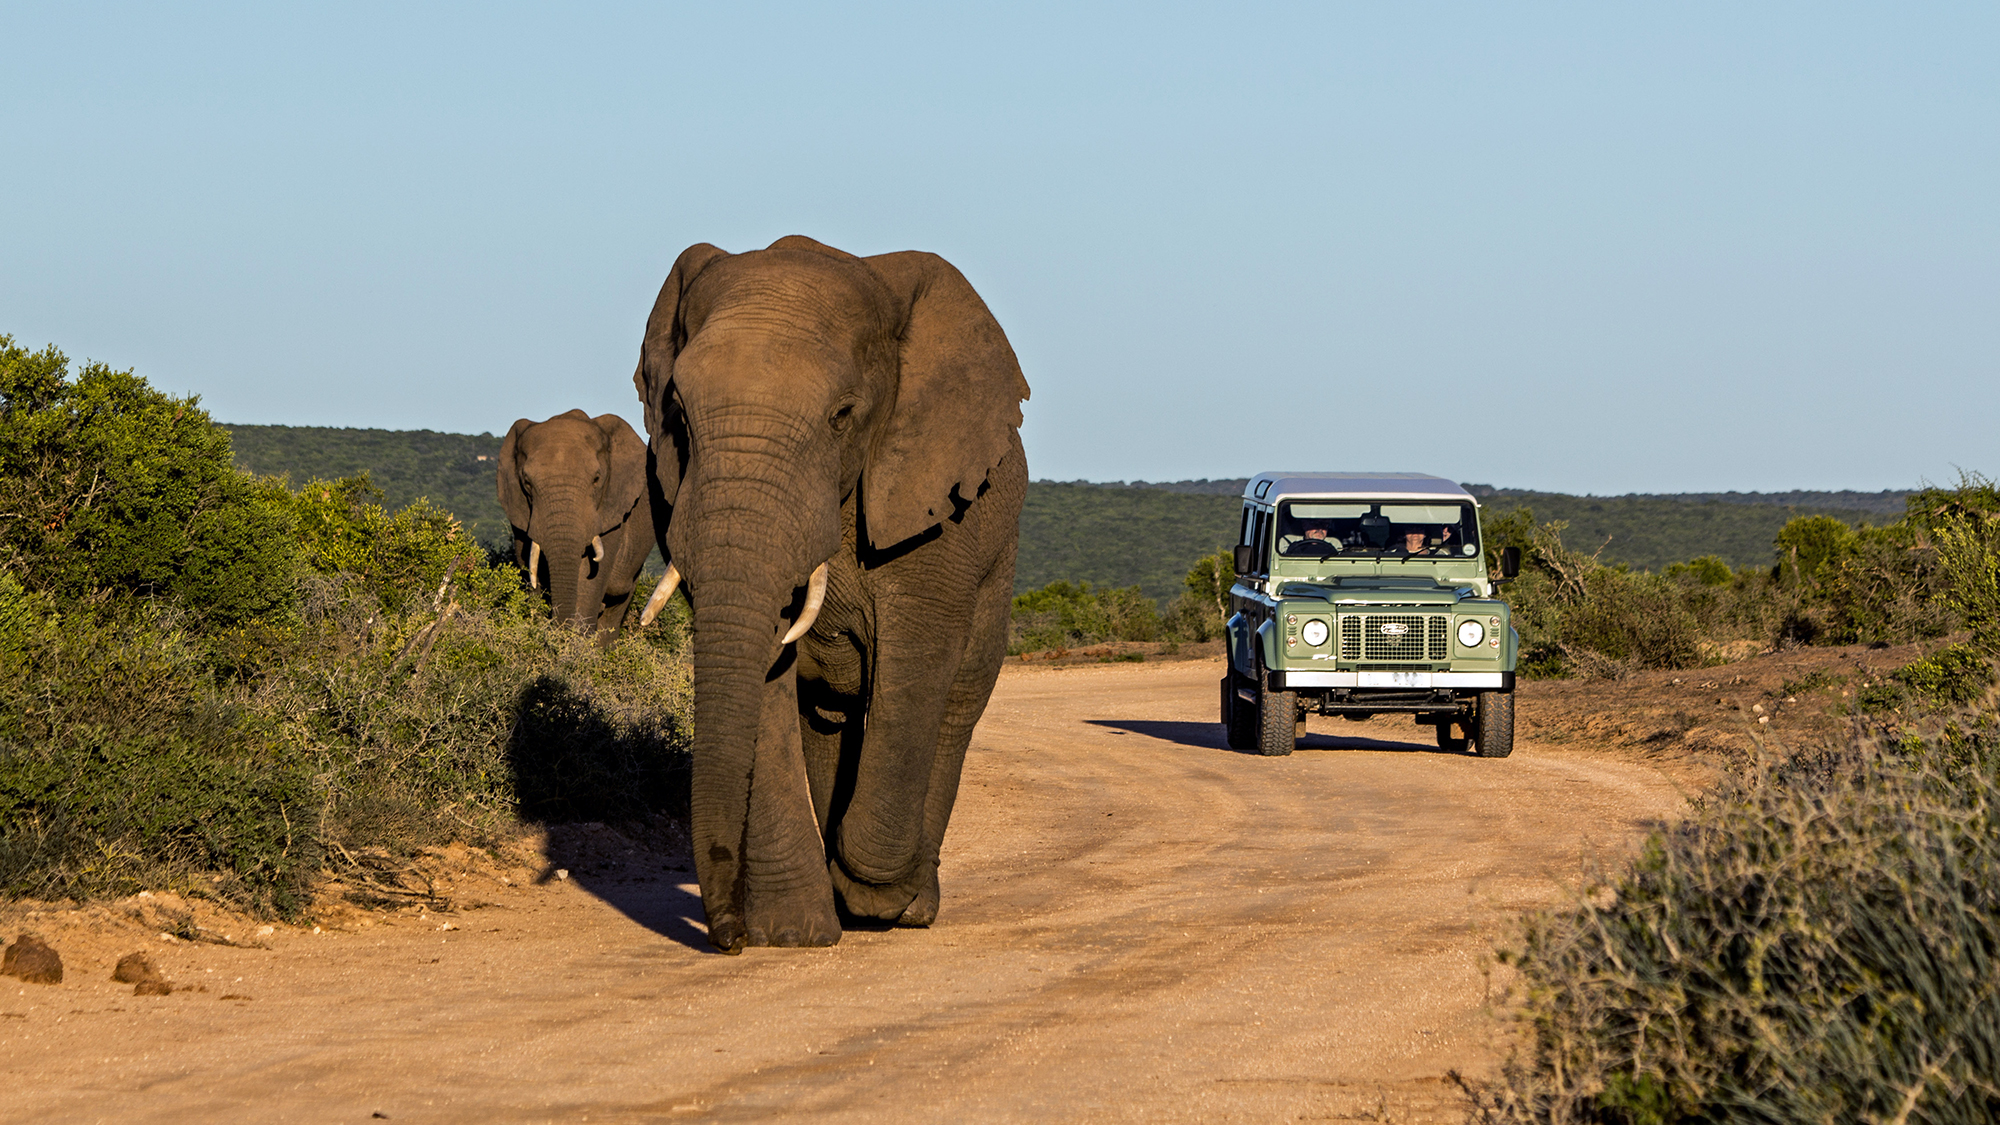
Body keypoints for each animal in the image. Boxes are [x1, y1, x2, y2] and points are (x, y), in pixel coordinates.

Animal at [497, 409, 655, 643]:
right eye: (526, 482)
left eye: (597, 479)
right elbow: (529, 566)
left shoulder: (611, 509)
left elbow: (592, 574)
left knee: (616, 606)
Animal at [632, 235, 1029, 953]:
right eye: (678, 415)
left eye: (842, 416)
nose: (726, 936)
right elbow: (766, 679)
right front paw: (793, 933)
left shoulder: (933, 511)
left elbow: (916, 664)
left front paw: (874, 895)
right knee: (828, 718)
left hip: (995, 552)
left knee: (956, 701)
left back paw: (908, 906)